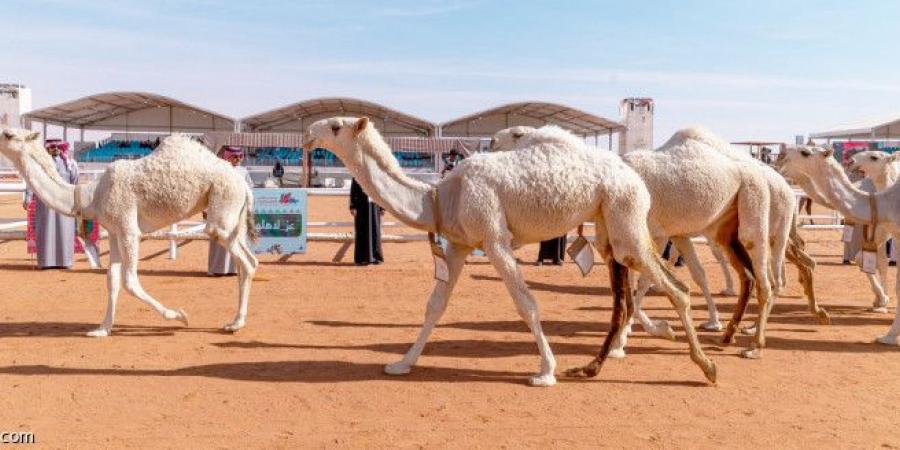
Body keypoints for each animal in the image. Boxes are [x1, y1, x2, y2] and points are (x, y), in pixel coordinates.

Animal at [0, 128, 258, 336]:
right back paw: (236, 321)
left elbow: (130, 281)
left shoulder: (128, 229)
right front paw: (102, 329)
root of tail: (244, 184)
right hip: (234, 216)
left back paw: (235, 324)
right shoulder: (114, 231)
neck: (91, 196)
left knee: (242, 258)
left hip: (222, 209)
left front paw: (180, 316)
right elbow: (112, 279)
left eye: (8, 134)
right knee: (249, 261)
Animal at [302, 117, 716, 386]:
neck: (439, 196)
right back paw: (601, 362)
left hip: (624, 215)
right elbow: (435, 305)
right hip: (608, 226)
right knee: (631, 293)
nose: (306, 135)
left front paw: (546, 371)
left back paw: (705, 365)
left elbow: (526, 304)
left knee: (676, 287)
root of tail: (634, 176)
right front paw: (402, 363)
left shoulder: (493, 238)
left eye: (336, 125)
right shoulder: (460, 245)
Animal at [488, 125, 776, 358]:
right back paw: (727, 334)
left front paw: (628, 340)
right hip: (724, 226)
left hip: (754, 200)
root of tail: (757, 167)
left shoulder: (652, 231)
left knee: (763, 275)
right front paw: (647, 332)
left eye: (518, 134)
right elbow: (635, 286)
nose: (490, 142)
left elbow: (644, 284)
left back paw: (754, 346)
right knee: (746, 275)